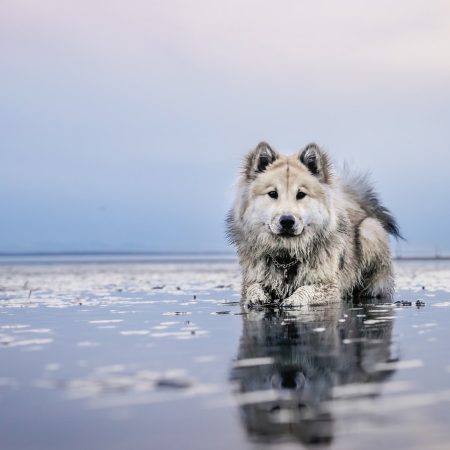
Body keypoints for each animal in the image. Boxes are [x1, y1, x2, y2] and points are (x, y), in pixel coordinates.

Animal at [225, 142, 400, 308]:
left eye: (301, 194)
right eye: (273, 194)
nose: (287, 221)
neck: (286, 258)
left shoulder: (328, 285)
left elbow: (306, 289)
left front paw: (293, 300)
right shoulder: (251, 280)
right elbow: (252, 288)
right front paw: (257, 297)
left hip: (369, 230)